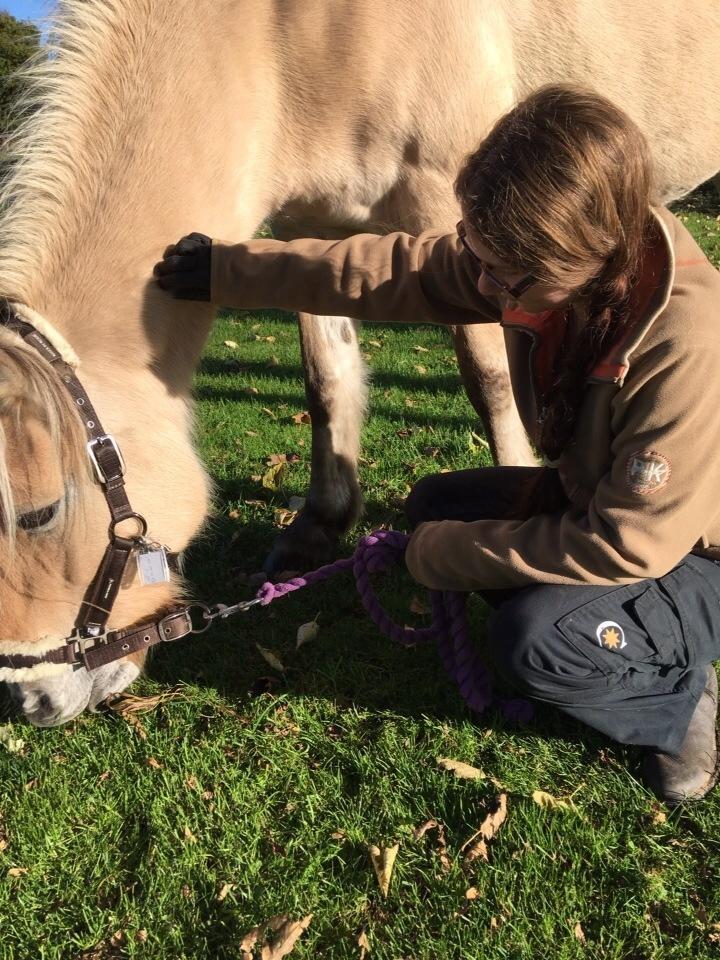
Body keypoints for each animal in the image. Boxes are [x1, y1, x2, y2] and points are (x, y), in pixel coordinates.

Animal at [0, 0, 716, 720]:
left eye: (42, 513)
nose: (34, 703)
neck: (288, 35)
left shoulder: (457, 214)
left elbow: (489, 380)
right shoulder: (306, 228)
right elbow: (328, 378)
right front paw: (320, 525)